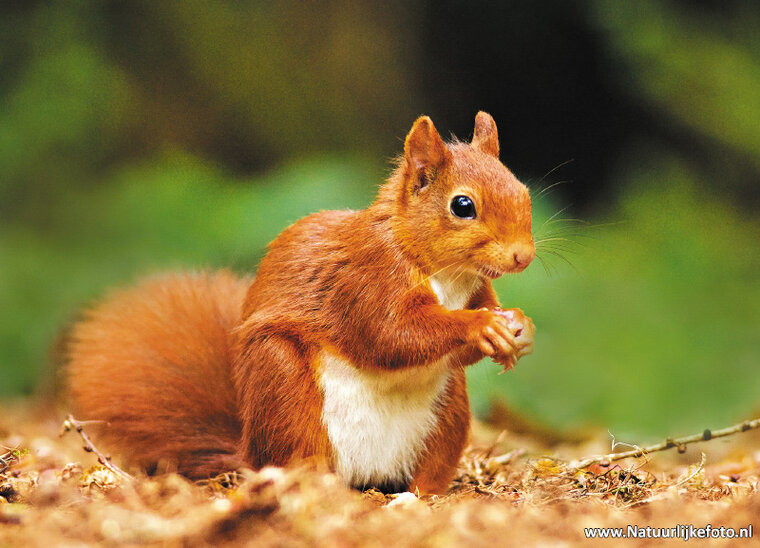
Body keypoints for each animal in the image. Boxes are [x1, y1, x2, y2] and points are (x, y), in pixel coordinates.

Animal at [66, 112, 536, 495]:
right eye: (463, 205)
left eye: (523, 190)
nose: (524, 256)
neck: (448, 275)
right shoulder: (366, 281)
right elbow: (392, 336)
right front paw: (481, 326)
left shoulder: (475, 291)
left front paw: (521, 328)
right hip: (284, 388)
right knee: (297, 459)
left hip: (447, 412)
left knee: (429, 469)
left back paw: (419, 494)